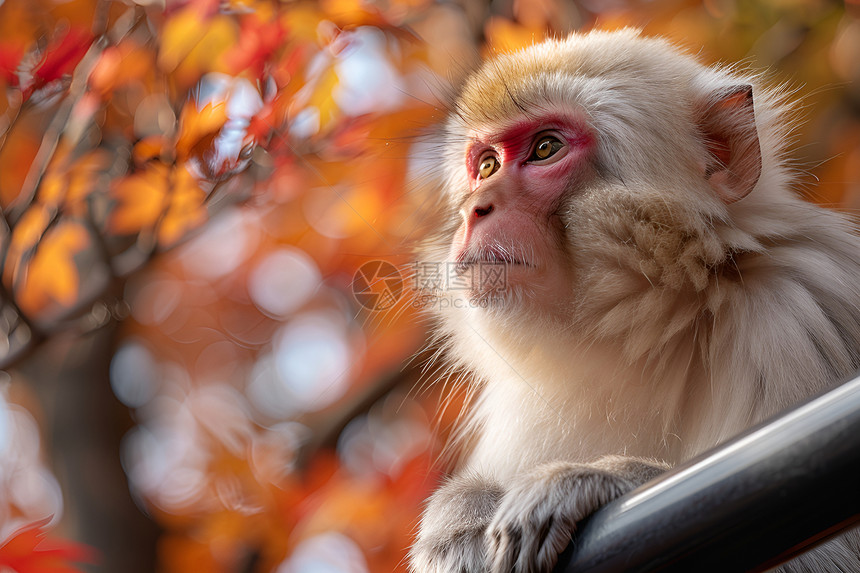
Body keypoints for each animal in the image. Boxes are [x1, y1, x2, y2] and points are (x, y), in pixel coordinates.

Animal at [406, 29, 860, 572]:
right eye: (488, 165)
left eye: (545, 148)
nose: (476, 209)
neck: (649, 333)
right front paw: (461, 514)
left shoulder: (797, 309)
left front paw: (595, 481)